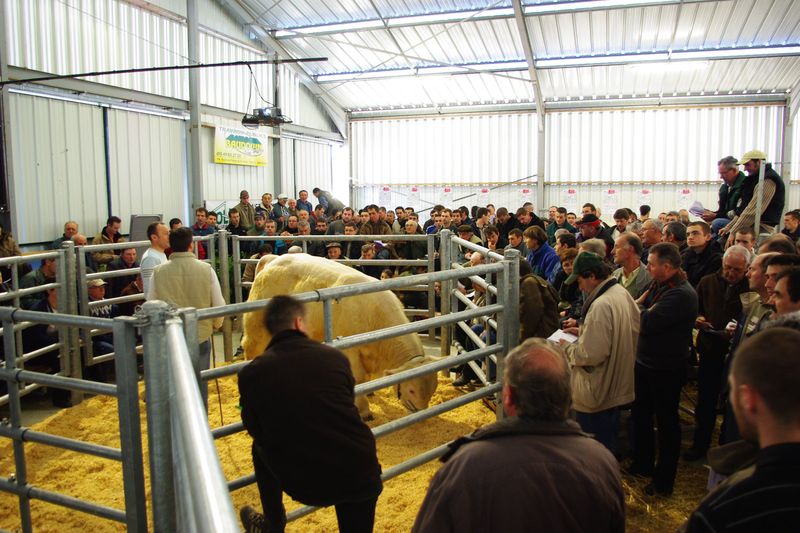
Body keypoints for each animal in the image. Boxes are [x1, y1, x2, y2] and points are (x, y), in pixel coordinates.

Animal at [242, 251, 438, 418]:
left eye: (434, 387)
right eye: (412, 389)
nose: (421, 413)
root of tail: (273, 259)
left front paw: (371, 392)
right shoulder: (350, 350)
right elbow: (358, 379)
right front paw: (364, 411)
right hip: (256, 324)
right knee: (250, 347)